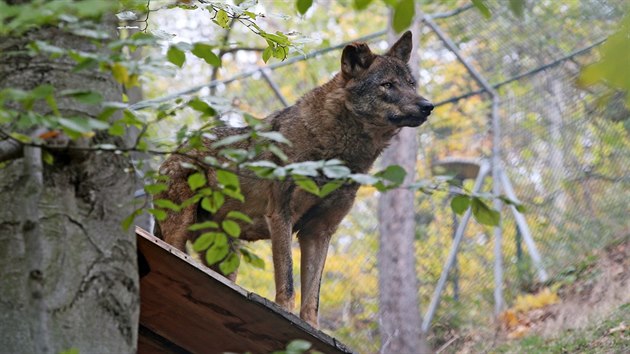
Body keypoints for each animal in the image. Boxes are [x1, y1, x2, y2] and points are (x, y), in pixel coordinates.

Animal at [156, 31, 436, 328]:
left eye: (411, 84)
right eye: (388, 85)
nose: (428, 106)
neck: (335, 155)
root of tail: (171, 154)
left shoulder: (319, 231)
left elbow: (313, 296)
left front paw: (311, 328)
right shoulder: (282, 215)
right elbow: (288, 280)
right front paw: (285, 314)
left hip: (226, 256)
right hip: (182, 226)